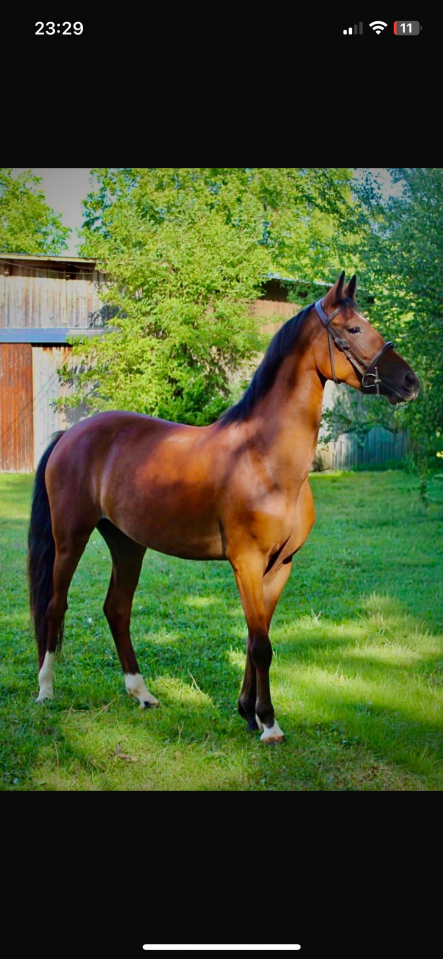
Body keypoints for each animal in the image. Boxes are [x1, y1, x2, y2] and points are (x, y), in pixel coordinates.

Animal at [28, 271, 420, 743]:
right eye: (355, 328)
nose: (410, 381)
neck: (265, 456)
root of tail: (71, 434)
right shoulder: (246, 562)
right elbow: (261, 645)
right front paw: (268, 723)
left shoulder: (279, 566)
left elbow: (256, 639)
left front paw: (248, 713)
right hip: (71, 538)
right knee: (56, 605)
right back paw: (46, 691)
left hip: (127, 543)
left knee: (116, 610)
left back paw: (142, 693)